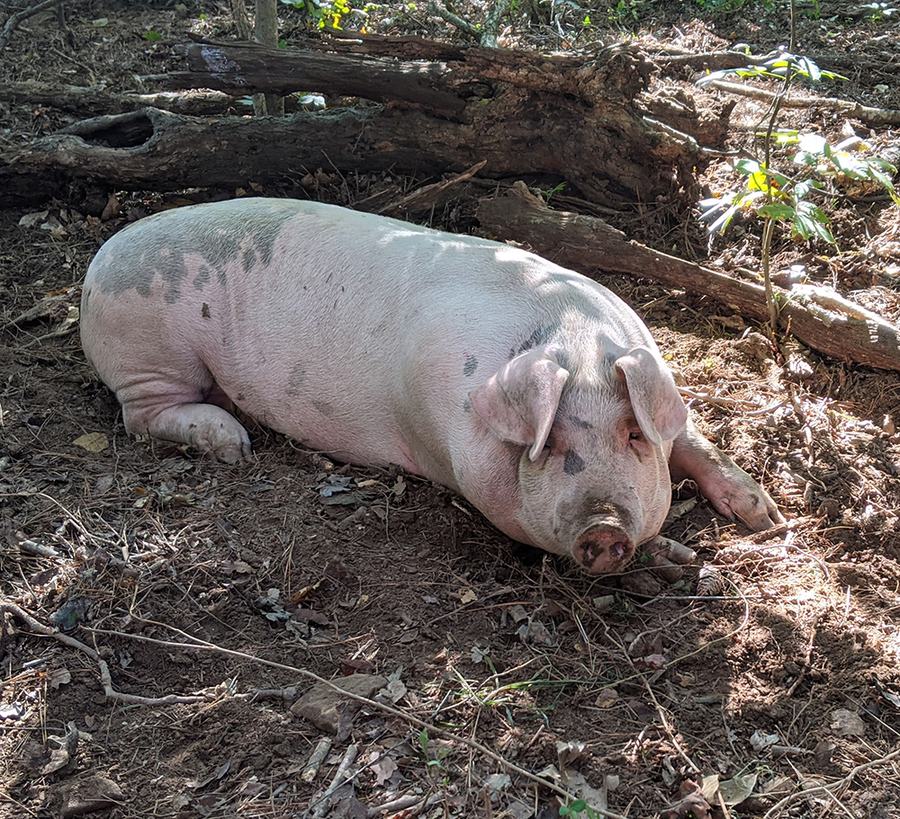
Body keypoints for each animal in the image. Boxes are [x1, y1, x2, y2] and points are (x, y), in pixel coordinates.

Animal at [80, 198, 783, 575]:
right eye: (551, 442)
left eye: (634, 434)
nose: (604, 527)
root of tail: (99, 260)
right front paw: (680, 554)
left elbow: (692, 439)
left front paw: (767, 519)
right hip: (151, 352)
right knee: (140, 419)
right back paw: (234, 445)